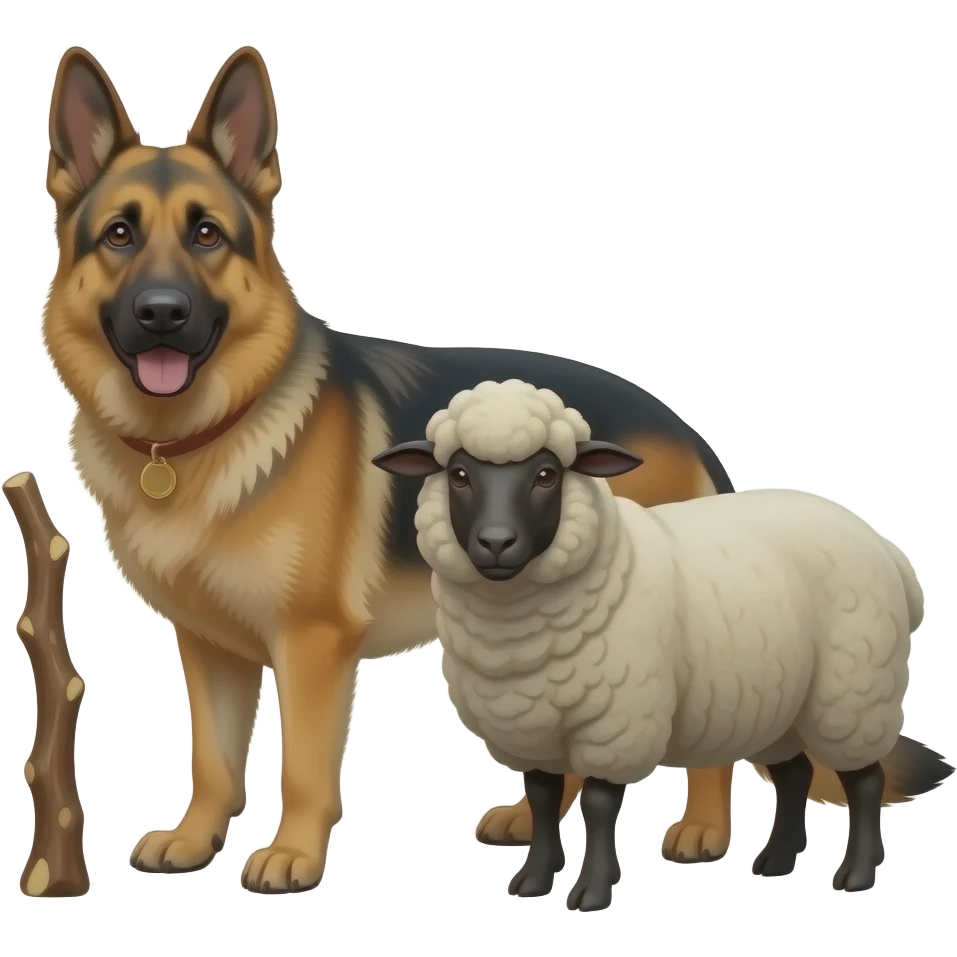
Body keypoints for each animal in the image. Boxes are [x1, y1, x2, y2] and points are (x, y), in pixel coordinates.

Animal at [372, 378, 949, 909]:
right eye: (459, 474)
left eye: (546, 474)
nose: (495, 543)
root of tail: (889, 554)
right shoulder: (530, 728)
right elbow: (542, 797)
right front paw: (533, 880)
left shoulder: (617, 722)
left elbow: (598, 804)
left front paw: (591, 891)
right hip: (780, 699)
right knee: (794, 773)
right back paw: (776, 861)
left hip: (852, 693)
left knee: (864, 780)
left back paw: (856, 873)